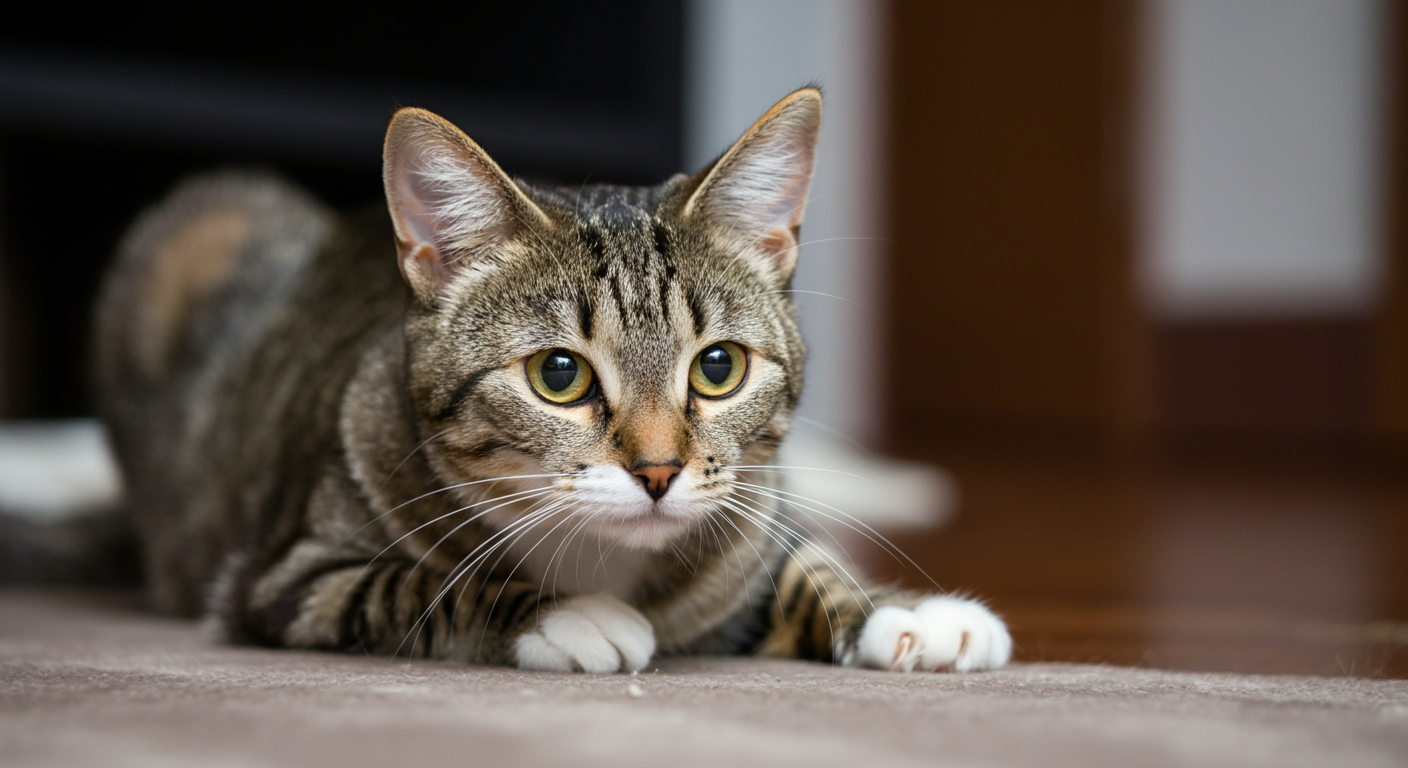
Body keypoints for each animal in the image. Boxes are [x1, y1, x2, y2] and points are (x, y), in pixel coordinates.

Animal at [96, 88, 1013, 670]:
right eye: (560, 375)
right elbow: (422, 585)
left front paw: (902, 612)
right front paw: (564, 613)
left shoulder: (755, 517)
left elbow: (801, 564)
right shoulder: (285, 582)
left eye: (718, 367)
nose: (658, 471)